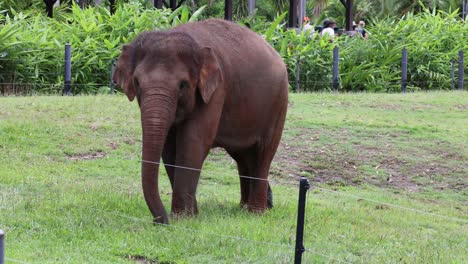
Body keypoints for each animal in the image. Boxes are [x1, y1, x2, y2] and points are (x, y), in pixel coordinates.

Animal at [113, 19, 288, 225]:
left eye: (183, 85)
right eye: (138, 83)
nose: (159, 221)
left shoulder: (216, 90)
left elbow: (193, 142)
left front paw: (183, 217)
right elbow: (169, 147)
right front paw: (189, 215)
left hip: (278, 103)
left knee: (263, 153)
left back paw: (255, 213)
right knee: (243, 156)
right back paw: (244, 208)